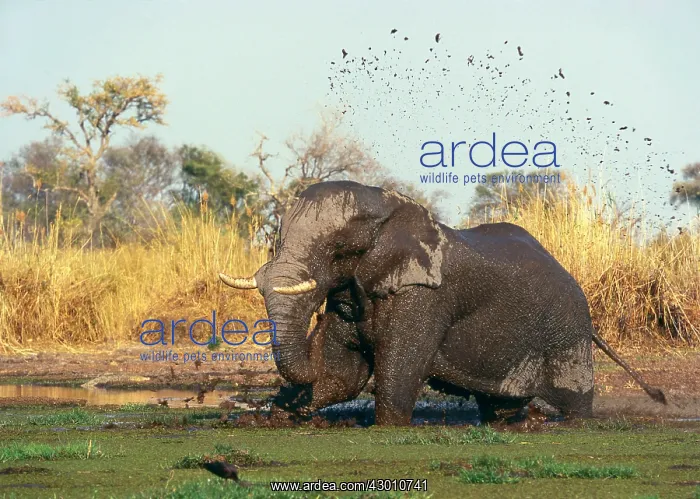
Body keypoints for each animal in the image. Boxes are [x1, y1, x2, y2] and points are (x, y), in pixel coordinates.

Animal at [219, 180, 666, 425]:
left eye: (338, 250)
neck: (387, 203)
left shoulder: (425, 298)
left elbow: (394, 375)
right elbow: (341, 375)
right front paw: (272, 416)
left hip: (567, 329)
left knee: (572, 403)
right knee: (501, 407)